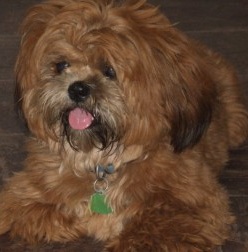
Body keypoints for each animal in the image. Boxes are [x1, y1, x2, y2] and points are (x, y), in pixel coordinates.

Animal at [0, 0, 248, 251]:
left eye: (109, 71)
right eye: (61, 65)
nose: (78, 88)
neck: (104, 164)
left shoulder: (196, 203)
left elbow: (153, 227)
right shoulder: (24, 193)